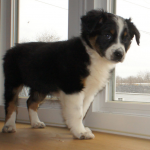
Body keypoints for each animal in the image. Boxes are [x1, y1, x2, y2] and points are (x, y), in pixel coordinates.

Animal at [1, 9, 140, 139]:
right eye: (107, 35)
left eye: (126, 39)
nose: (119, 54)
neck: (91, 55)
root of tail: (12, 49)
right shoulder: (73, 87)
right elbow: (77, 112)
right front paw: (80, 132)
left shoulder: (89, 92)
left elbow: (82, 111)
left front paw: (78, 129)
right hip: (13, 81)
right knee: (10, 103)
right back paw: (9, 126)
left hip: (41, 86)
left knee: (31, 102)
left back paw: (35, 123)